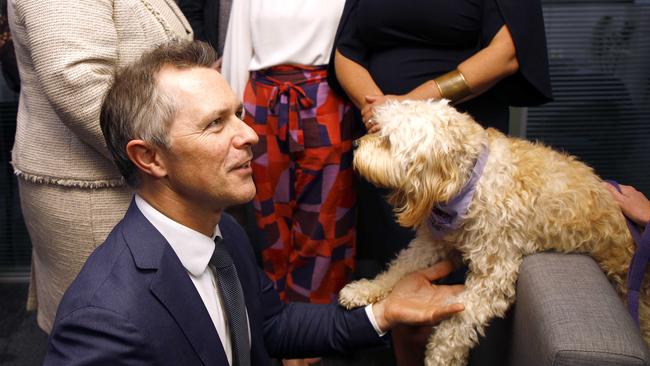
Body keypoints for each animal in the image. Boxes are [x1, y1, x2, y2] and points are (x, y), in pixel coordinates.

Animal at [340, 99, 644, 366]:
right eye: (377, 130)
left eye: (388, 141)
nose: (355, 144)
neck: (471, 183)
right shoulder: (432, 244)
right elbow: (399, 268)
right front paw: (365, 289)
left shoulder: (494, 276)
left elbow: (456, 326)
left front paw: (440, 357)